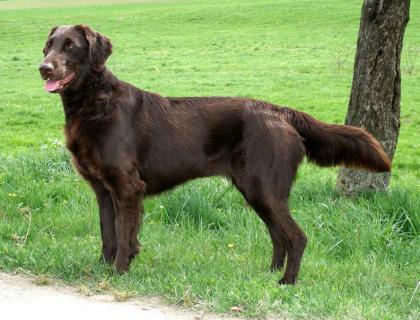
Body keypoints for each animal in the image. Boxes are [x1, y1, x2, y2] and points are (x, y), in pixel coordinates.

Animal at [39, 25, 390, 284]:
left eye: (70, 46)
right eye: (48, 45)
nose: (43, 68)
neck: (93, 101)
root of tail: (281, 112)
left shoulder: (127, 187)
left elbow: (125, 235)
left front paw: (119, 272)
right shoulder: (103, 189)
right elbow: (107, 233)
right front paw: (101, 267)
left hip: (263, 187)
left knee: (296, 236)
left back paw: (286, 283)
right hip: (258, 191)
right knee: (279, 236)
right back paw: (269, 274)